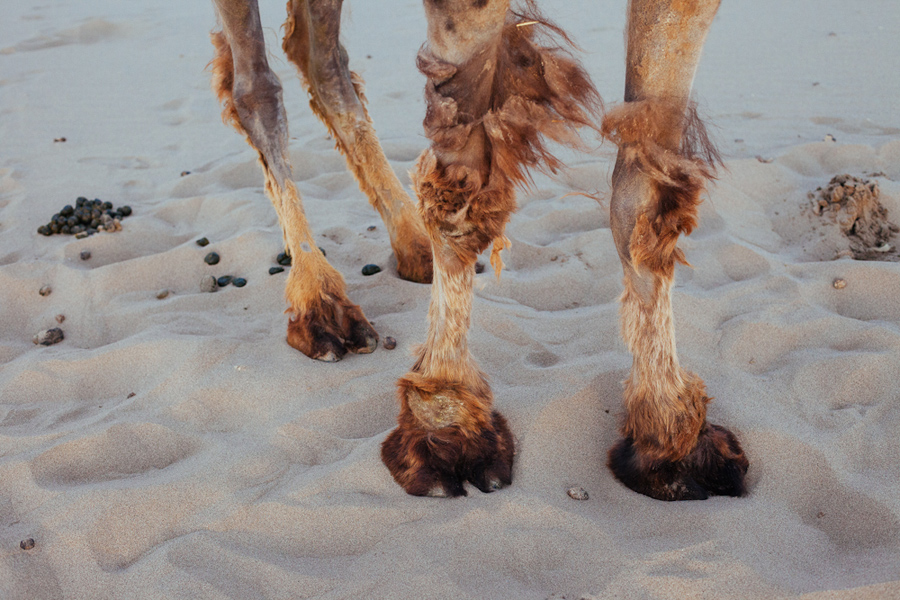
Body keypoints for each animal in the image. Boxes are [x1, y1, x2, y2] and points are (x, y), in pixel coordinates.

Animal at [209, 0, 744, 500]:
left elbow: (644, 197)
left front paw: (668, 439)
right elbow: (457, 187)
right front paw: (446, 422)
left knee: (319, 56)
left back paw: (410, 243)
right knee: (255, 86)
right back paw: (319, 301)